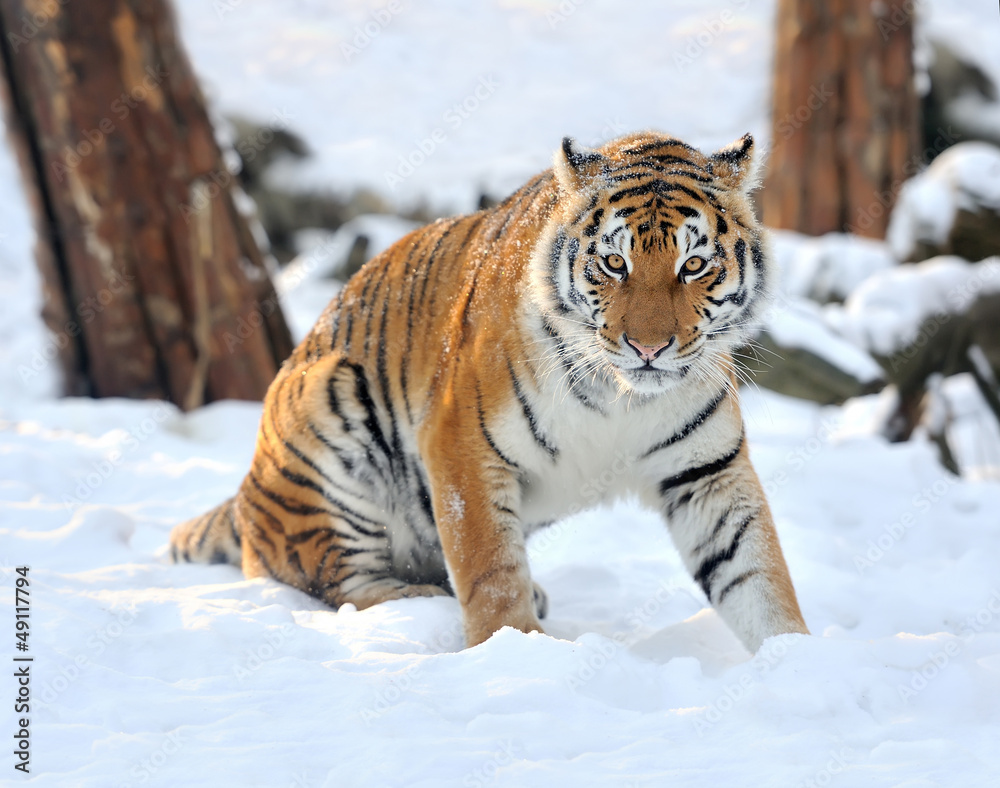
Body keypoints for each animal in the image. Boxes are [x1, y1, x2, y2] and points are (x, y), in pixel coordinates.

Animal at [170, 131, 809, 652]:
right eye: (614, 262)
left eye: (694, 265)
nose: (647, 347)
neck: (622, 397)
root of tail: (244, 495)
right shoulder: (463, 450)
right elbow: (490, 573)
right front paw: (515, 651)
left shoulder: (707, 472)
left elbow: (757, 575)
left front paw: (792, 660)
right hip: (330, 403)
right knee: (337, 580)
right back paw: (419, 604)